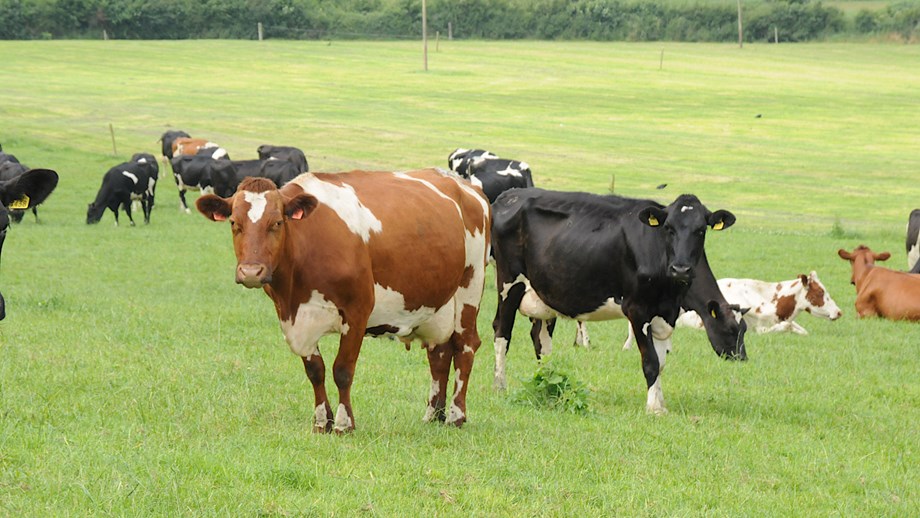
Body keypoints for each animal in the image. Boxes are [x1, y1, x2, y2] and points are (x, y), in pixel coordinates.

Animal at [198, 171, 492, 434]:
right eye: (234, 222)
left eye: (277, 222)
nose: (251, 272)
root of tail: (468, 188)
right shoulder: (295, 317)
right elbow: (315, 371)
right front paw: (321, 421)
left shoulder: (357, 311)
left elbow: (342, 370)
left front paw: (343, 423)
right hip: (437, 305)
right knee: (439, 354)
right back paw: (433, 414)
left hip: (469, 288)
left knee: (465, 347)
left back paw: (455, 415)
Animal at [492, 189, 744, 416]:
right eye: (668, 228)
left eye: (700, 230)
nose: (681, 268)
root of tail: (510, 195)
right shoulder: (637, 309)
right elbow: (651, 361)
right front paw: (653, 409)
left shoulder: (665, 314)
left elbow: (662, 362)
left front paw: (660, 403)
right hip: (508, 283)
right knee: (501, 332)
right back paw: (500, 386)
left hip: (543, 295)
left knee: (541, 341)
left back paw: (548, 380)